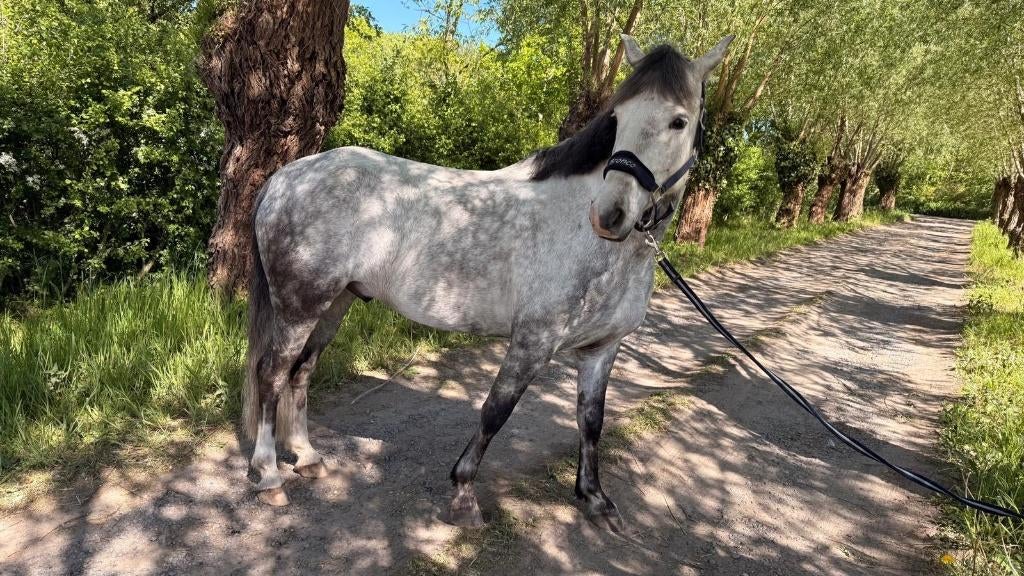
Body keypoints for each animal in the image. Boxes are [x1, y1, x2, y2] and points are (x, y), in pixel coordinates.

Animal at [244, 33, 733, 532]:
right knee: (271, 374)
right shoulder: (533, 341)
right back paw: (269, 476)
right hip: (299, 305)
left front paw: (596, 499)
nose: (609, 215)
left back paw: (307, 458)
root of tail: (285, 177)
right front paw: (463, 495)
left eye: (678, 121)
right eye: (617, 119)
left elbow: (591, 421)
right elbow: (496, 411)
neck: (601, 249)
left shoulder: (602, 348)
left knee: (301, 373)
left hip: (335, 303)